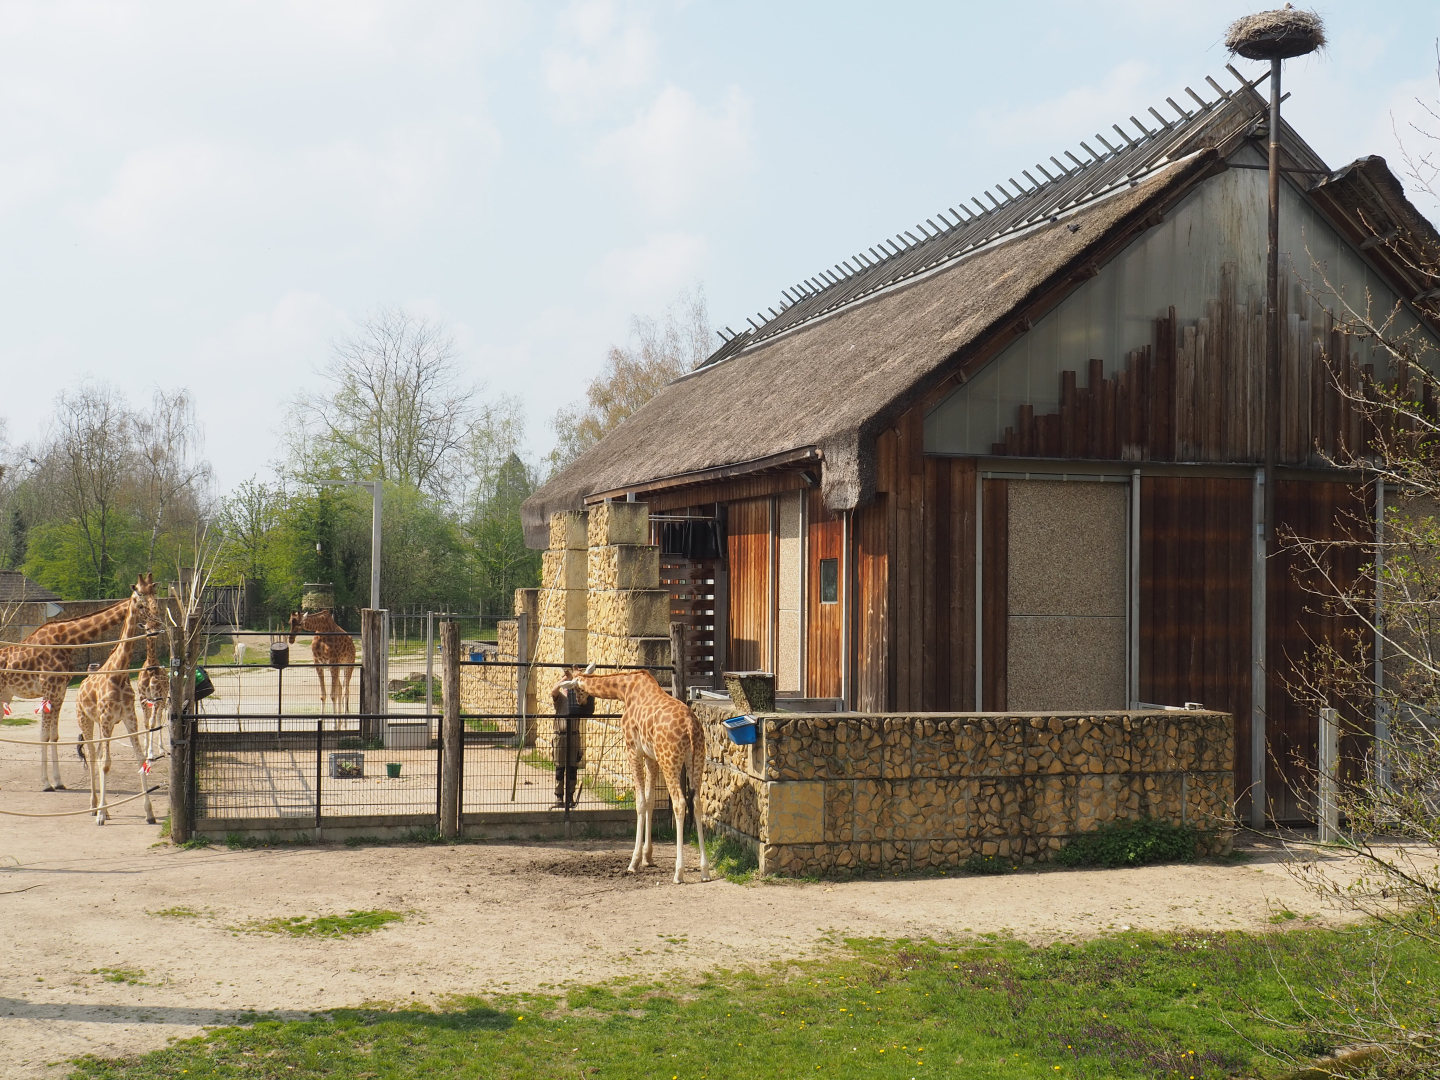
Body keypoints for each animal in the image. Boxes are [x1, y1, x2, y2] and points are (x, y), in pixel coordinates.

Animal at [0, 585, 143, 791]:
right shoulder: (49, 690)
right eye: (143, 605)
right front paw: (46, 784)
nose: (156, 623)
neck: (67, 638)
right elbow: (44, 735)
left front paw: (58, 782)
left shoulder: (60, 692)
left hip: (5, 695)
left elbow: (54, 735)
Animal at [76, 574, 162, 825]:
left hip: (108, 725)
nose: (156, 615)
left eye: (155, 592)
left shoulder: (129, 717)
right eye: (139, 597)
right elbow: (105, 764)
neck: (120, 673)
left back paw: (105, 809)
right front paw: (100, 816)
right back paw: (94, 806)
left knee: (97, 754)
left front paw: (150, 813)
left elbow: (140, 758)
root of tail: (80, 687)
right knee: (93, 754)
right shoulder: (105, 718)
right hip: (86, 720)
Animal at [554, 666, 710, 884]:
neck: (625, 690)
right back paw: (705, 870)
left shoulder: (633, 750)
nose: (582, 701)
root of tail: (690, 727)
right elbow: (651, 801)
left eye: (574, 688)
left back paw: (679, 872)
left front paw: (634, 862)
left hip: (670, 759)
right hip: (697, 759)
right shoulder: (650, 756)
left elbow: (640, 802)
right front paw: (648, 857)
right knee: (696, 802)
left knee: (680, 803)